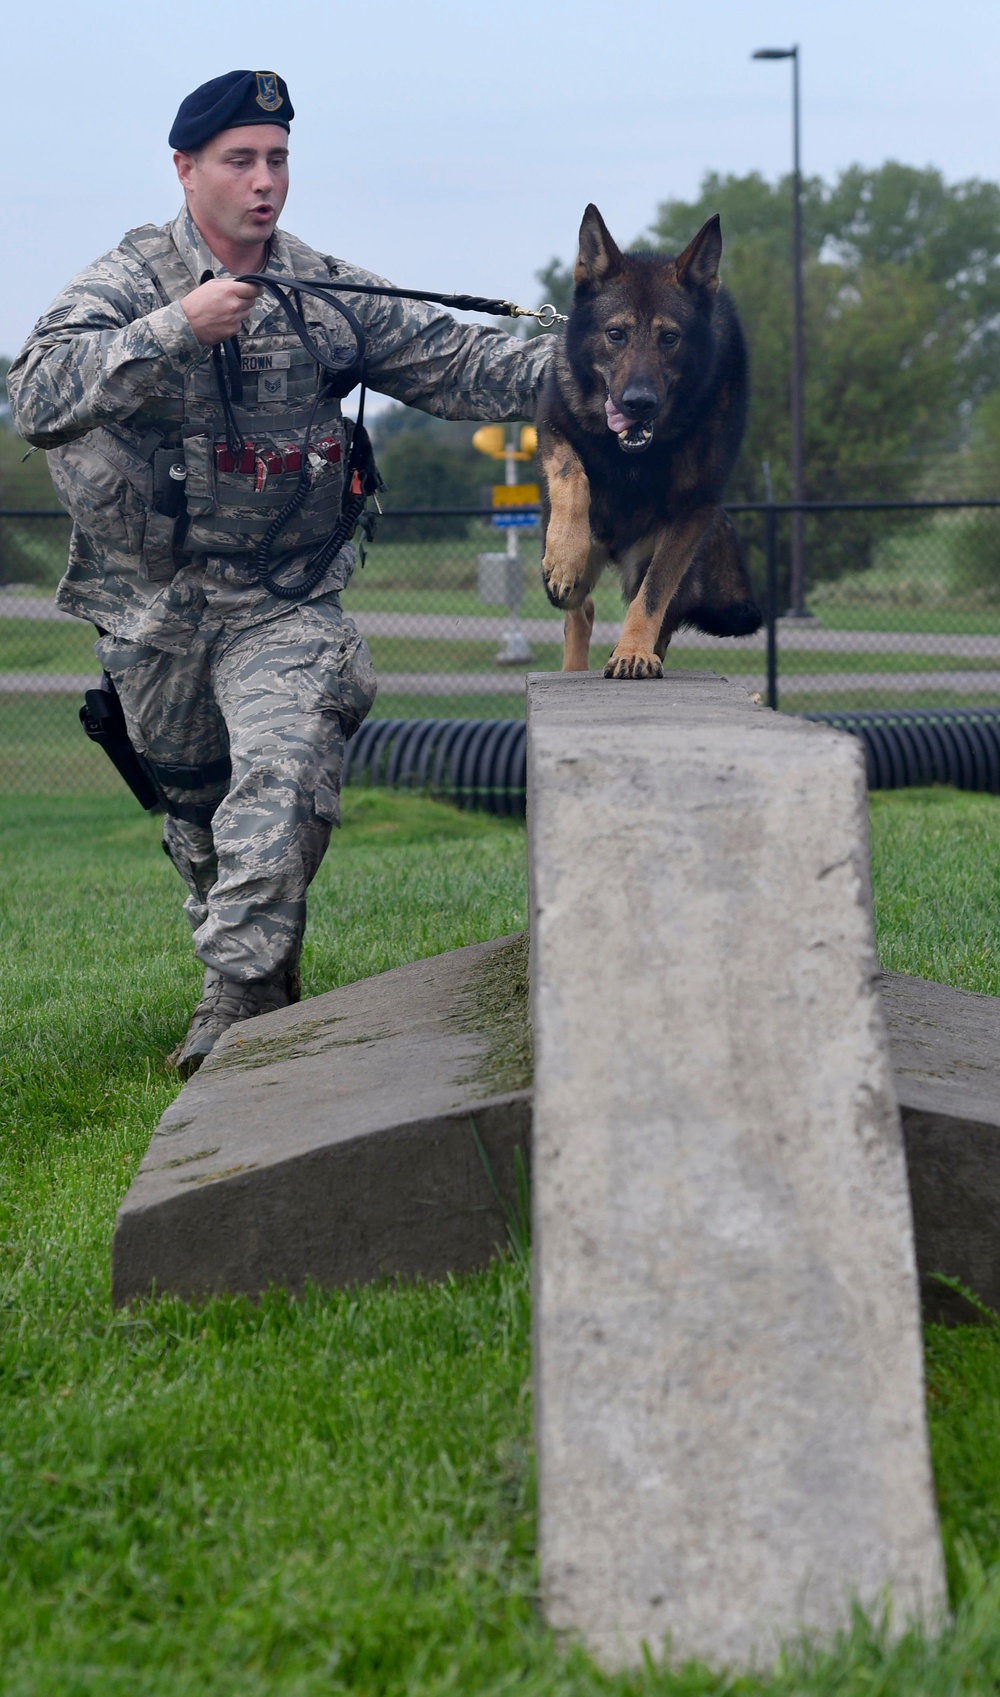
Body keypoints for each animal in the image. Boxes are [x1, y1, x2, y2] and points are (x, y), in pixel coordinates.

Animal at [536, 203, 757, 668]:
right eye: (615, 334)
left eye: (669, 338)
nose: (639, 403)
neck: (633, 456)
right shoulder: (551, 422)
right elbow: (570, 472)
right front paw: (565, 553)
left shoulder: (692, 512)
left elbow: (653, 594)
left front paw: (633, 649)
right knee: (580, 607)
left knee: (657, 613)